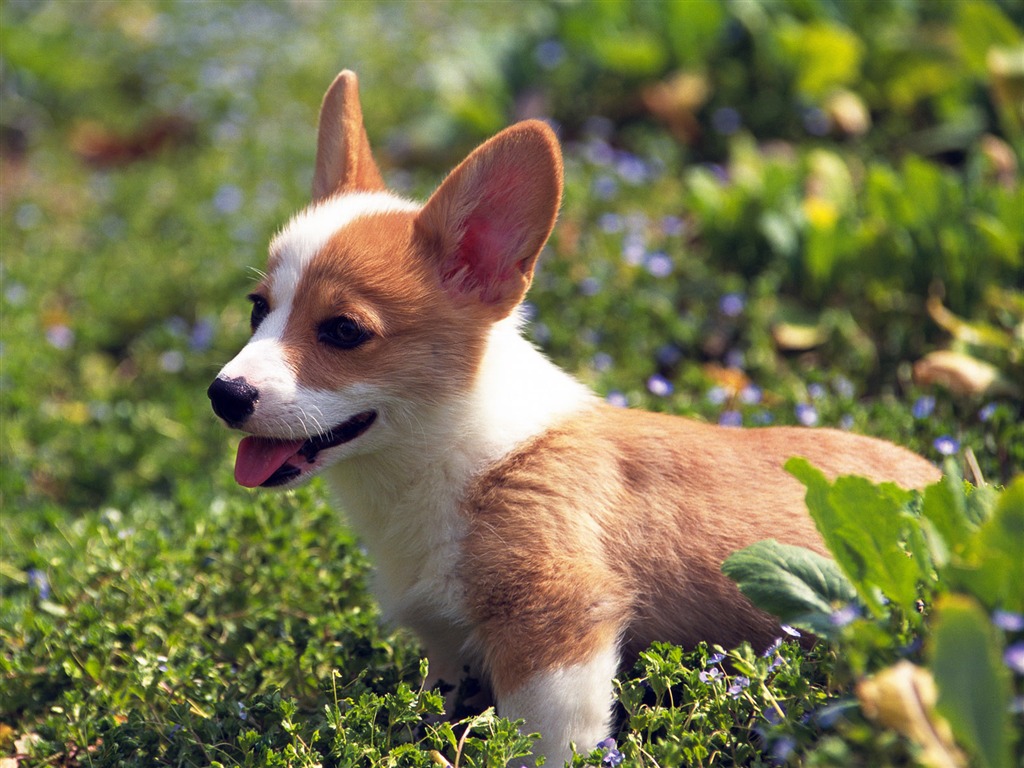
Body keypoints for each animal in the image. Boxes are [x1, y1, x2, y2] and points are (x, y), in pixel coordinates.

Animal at [207, 70, 942, 765]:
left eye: (343, 331)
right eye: (257, 309)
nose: (224, 394)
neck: (448, 452)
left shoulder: (556, 625)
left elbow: (544, 746)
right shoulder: (447, 644)